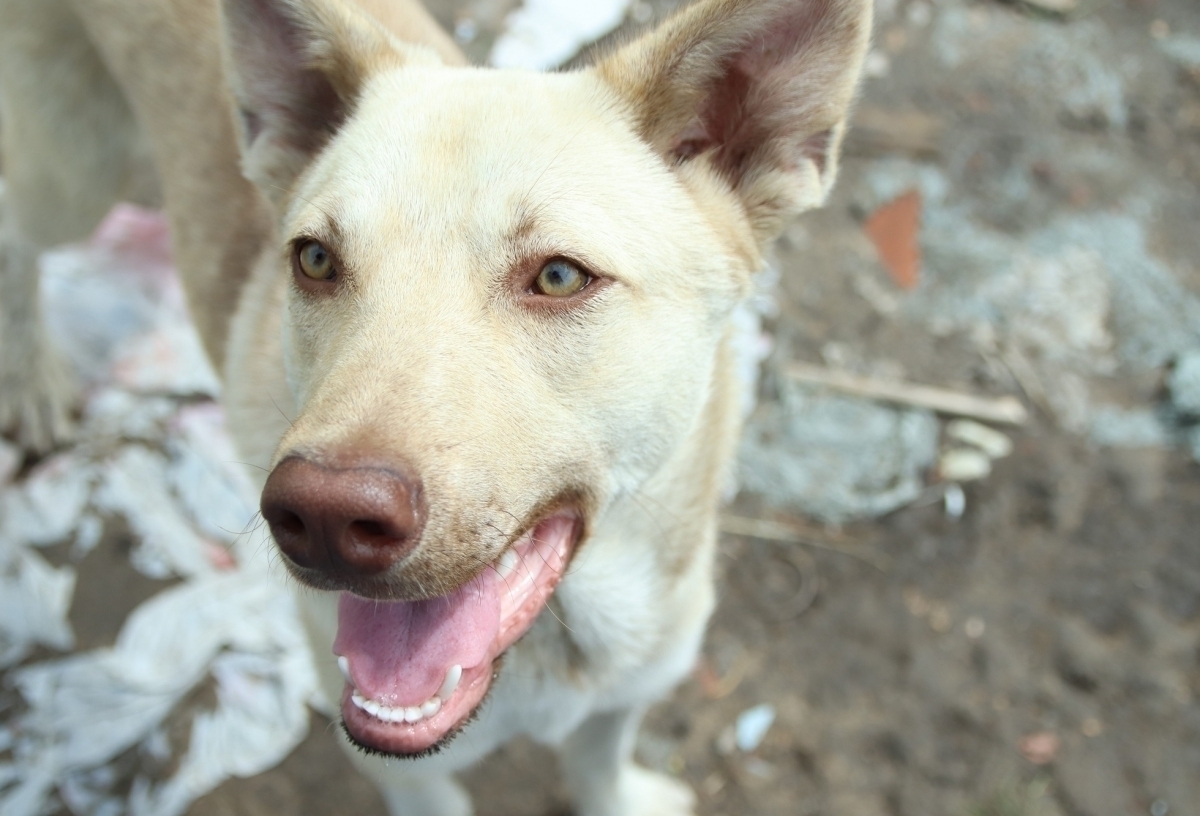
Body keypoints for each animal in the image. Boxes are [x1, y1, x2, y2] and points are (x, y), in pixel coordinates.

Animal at [0, 1, 868, 811]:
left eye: (559, 276)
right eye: (316, 260)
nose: (322, 518)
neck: (561, 647)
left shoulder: (627, 693)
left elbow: (598, 769)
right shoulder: (412, 777)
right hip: (70, 177)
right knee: (17, 239)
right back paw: (32, 382)